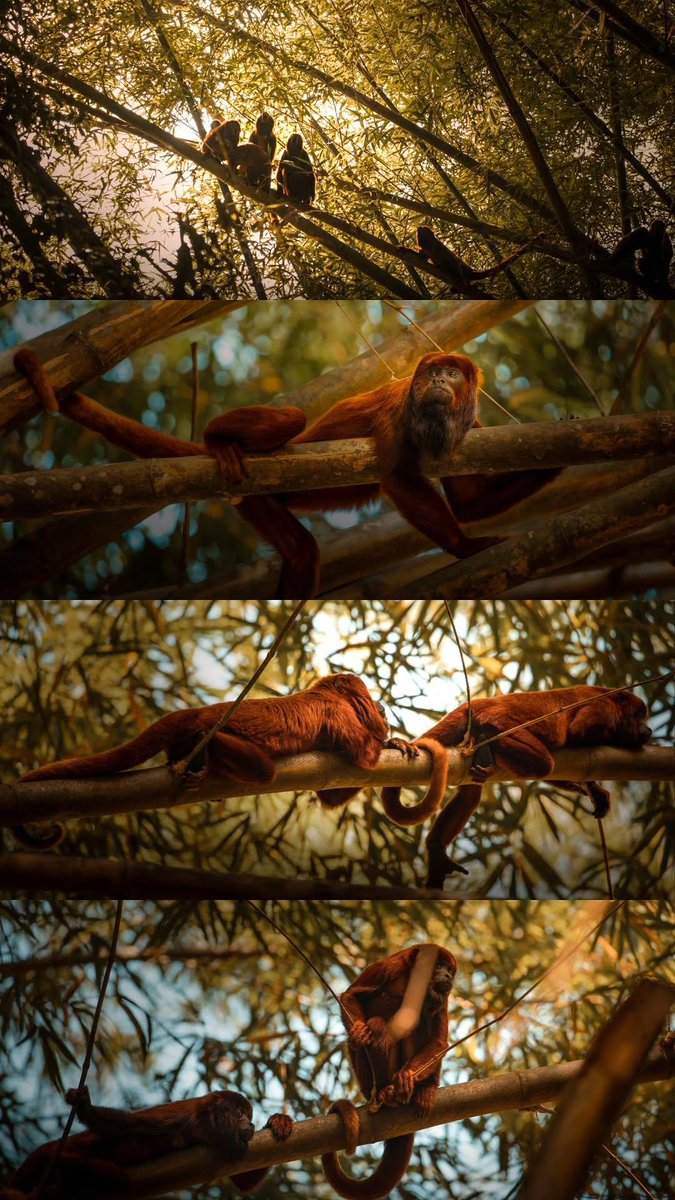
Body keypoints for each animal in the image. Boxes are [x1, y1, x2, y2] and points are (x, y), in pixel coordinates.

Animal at [2, 1084, 291, 1198]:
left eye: (249, 1117)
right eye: (240, 1114)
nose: (251, 1124)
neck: (204, 1127)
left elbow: (244, 1182)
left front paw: (278, 1121)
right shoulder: (178, 1115)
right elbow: (124, 1125)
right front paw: (85, 1108)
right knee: (116, 1178)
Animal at [13, 673, 446, 849]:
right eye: (371, 700)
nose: (383, 710)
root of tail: (200, 711)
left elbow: (331, 796)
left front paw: (399, 741)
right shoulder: (337, 712)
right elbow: (364, 758)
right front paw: (389, 740)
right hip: (213, 733)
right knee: (262, 769)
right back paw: (203, 761)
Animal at [14, 347, 560, 599]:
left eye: (453, 374)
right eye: (432, 373)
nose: (440, 380)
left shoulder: (473, 428)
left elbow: (468, 503)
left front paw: (558, 458)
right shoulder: (396, 405)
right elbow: (397, 479)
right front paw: (466, 547)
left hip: (259, 503)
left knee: (302, 551)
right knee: (293, 419)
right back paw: (217, 441)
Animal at [322, 944, 456, 1199]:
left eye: (449, 969)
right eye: (438, 966)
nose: (448, 976)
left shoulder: (443, 997)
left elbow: (438, 1041)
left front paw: (408, 1077)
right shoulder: (388, 967)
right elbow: (351, 995)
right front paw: (359, 1033)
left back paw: (423, 1089)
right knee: (377, 1026)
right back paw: (385, 1092)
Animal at [405, 686, 653, 888]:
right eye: (640, 717)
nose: (649, 730)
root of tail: (478, 702)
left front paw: (594, 790)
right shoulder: (602, 710)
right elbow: (577, 732)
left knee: (470, 794)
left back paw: (436, 849)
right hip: (500, 721)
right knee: (543, 762)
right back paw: (487, 740)